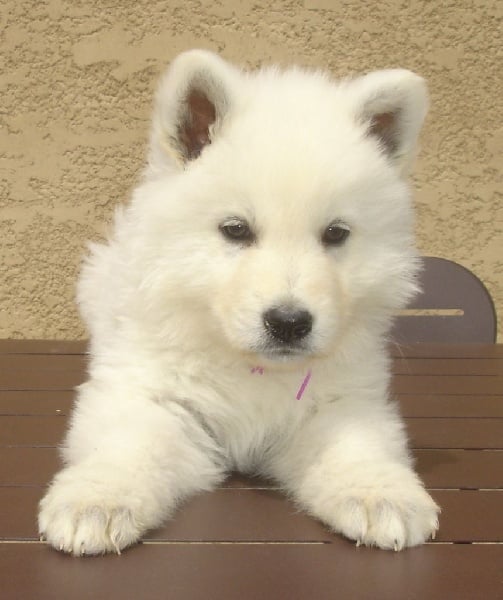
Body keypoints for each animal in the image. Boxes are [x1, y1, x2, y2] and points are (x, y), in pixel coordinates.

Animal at [39, 50, 440, 555]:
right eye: (235, 229)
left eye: (336, 233)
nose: (289, 322)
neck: (250, 368)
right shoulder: (149, 392)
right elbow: (127, 446)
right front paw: (96, 501)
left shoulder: (343, 399)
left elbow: (357, 445)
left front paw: (381, 496)